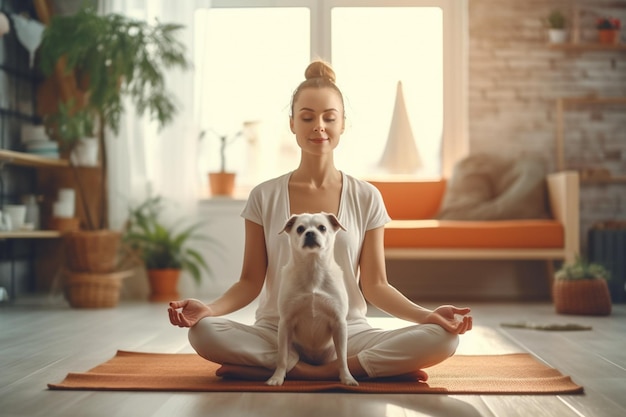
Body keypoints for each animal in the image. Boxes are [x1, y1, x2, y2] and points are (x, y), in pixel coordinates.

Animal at [266, 213, 358, 386]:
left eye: (322, 227)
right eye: (300, 229)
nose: (309, 233)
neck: (313, 267)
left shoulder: (339, 322)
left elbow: (343, 359)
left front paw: (347, 378)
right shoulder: (286, 322)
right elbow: (282, 357)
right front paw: (277, 378)